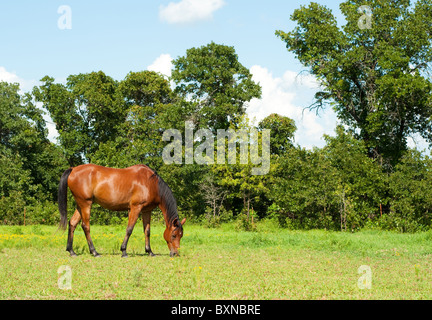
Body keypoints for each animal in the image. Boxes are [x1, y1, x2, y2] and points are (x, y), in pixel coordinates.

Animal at [57, 164, 186, 258]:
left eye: (181, 235)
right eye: (174, 235)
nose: (176, 253)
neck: (150, 183)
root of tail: (73, 169)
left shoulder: (146, 211)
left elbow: (147, 231)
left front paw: (150, 251)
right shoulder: (135, 208)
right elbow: (129, 229)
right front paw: (124, 251)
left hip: (80, 205)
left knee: (72, 223)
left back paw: (71, 251)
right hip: (85, 204)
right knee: (85, 226)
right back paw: (94, 252)